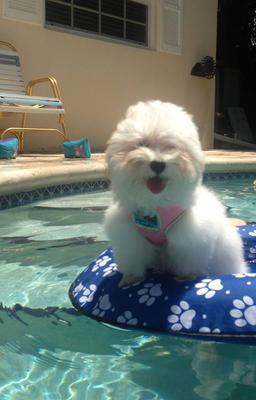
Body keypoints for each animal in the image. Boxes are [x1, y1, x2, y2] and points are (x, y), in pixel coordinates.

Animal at [103, 101, 246, 286]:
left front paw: (186, 277)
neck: (155, 204)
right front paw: (131, 279)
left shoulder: (190, 238)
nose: (158, 164)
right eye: (142, 144)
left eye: (172, 147)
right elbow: (133, 259)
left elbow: (188, 260)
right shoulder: (129, 237)